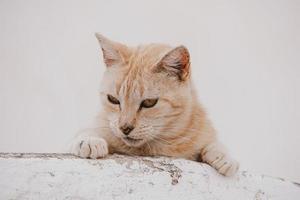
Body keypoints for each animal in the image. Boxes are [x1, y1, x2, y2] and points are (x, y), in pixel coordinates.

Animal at [70, 33, 239, 177]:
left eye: (149, 102)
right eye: (113, 99)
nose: (125, 128)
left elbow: (212, 143)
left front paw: (225, 156)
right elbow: (88, 132)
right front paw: (90, 140)